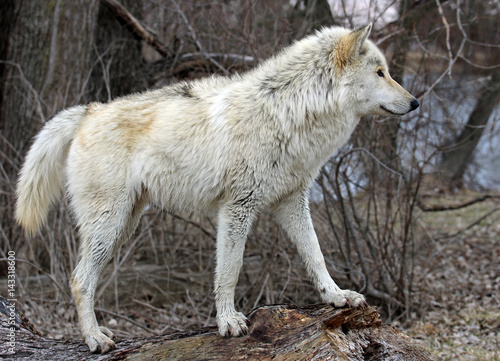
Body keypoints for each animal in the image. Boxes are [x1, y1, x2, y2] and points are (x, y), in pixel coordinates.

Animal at [14, 23, 418, 352]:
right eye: (381, 72)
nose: (416, 102)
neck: (291, 113)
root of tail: (89, 110)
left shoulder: (291, 202)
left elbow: (315, 254)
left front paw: (335, 296)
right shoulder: (238, 208)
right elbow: (230, 270)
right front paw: (228, 321)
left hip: (124, 225)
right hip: (109, 226)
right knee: (79, 280)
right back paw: (95, 339)